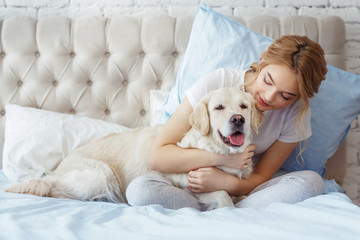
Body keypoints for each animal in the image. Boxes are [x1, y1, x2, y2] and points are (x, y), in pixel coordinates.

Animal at [6, 87, 264, 209]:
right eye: (219, 107)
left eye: (243, 106)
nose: (238, 119)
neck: (219, 152)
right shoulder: (188, 181)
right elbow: (222, 194)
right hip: (100, 175)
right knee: (52, 187)